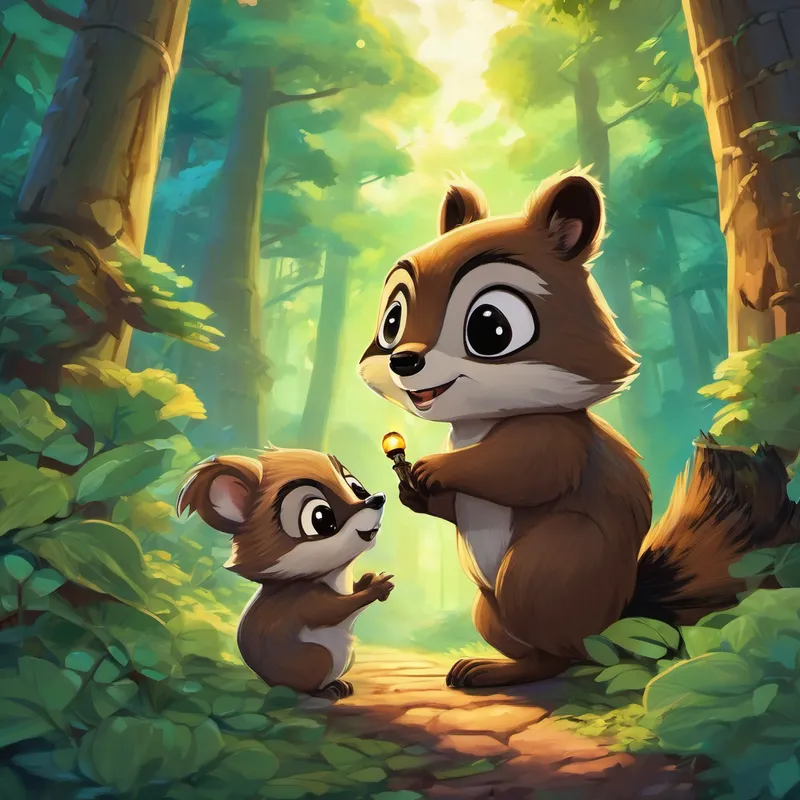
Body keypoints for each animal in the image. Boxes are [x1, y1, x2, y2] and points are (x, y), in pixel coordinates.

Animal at [176, 446, 394, 701]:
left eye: (356, 487)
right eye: (321, 517)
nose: (377, 498)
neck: (333, 574)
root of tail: (270, 683)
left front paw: (369, 578)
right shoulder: (304, 600)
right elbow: (336, 609)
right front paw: (377, 587)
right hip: (316, 658)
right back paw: (326, 691)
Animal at [358, 167, 799, 690]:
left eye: (491, 327)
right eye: (392, 321)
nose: (403, 361)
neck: (481, 422)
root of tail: (618, 618)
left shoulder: (556, 439)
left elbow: (525, 471)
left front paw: (432, 468)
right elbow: (456, 505)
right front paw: (414, 492)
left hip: (547, 567)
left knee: (567, 655)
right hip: (490, 609)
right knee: (547, 653)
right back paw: (489, 668)